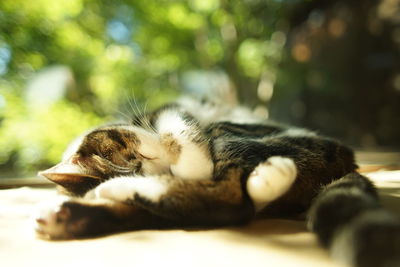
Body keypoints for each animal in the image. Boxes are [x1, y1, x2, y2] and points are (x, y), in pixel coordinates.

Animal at [34, 91, 400, 266]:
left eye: (140, 156)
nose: (167, 170)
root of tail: (347, 163)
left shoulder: (172, 111)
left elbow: (180, 131)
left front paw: (188, 163)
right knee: (232, 201)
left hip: (229, 132)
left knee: (233, 198)